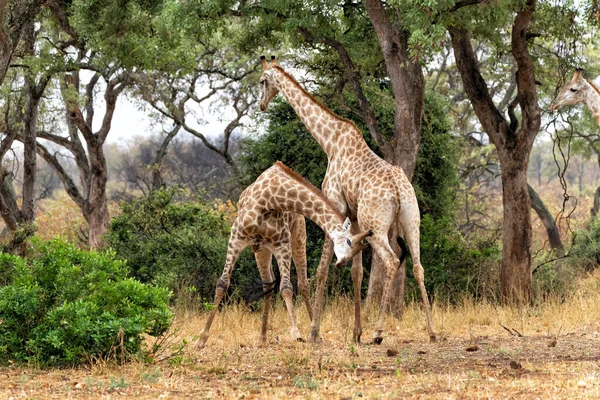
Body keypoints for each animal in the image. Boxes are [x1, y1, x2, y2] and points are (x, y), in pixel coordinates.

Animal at [197, 161, 372, 348]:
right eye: (349, 242)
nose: (342, 263)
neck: (268, 200)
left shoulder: (282, 244)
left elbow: (287, 287)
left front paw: (296, 333)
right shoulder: (236, 238)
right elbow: (222, 283)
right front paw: (202, 337)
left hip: (298, 237)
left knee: (302, 284)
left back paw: (316, 335)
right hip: (262, 250)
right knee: (268, 284)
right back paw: (262, 338)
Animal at [258, 55, 436, 344]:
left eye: (262, 81)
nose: (261, 105)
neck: (329, 142)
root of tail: (399, 191)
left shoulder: (336, 205)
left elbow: (323, 269)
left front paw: (314, 332)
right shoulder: (353, 217)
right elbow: (357, 271)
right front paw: (355, 333)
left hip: (377, 226)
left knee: (391, 261)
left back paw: (378, 333)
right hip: (412, 221)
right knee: (418, 266)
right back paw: (431, 332)